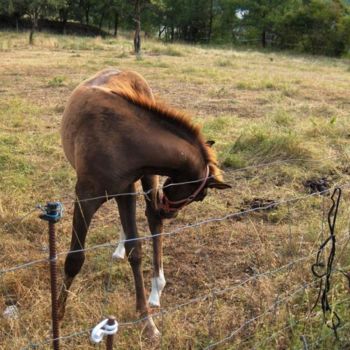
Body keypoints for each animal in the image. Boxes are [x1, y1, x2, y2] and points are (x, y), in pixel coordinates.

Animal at [58, 67, 231, 336]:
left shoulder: (127, 191)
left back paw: (156, 287)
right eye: (201, 196)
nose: (169, 212)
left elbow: (136, 250)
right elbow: (75, 257)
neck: (121, 140)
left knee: (152, 220)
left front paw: (147, 320)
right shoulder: (87, 197)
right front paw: (57, 315)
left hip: (149, 179)